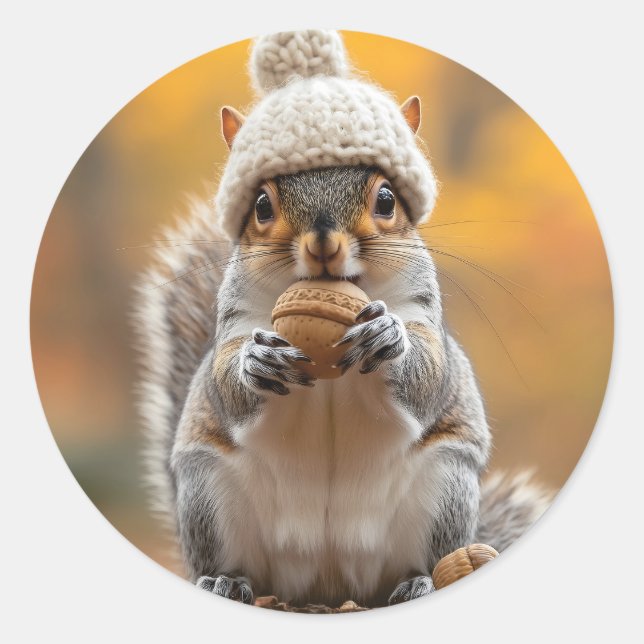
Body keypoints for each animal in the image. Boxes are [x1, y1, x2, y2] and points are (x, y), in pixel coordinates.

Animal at [135, 31, 551, 608]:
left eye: (386, 199)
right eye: (261, 205)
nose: (324, 243)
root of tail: (326, 589)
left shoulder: (422, 311)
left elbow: (429, 372)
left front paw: (388, 338)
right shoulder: (237, 320)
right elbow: (225, 378)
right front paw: (255, 362)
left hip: (443, 488)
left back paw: (418, 581)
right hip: (207, 496)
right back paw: (226, 581)